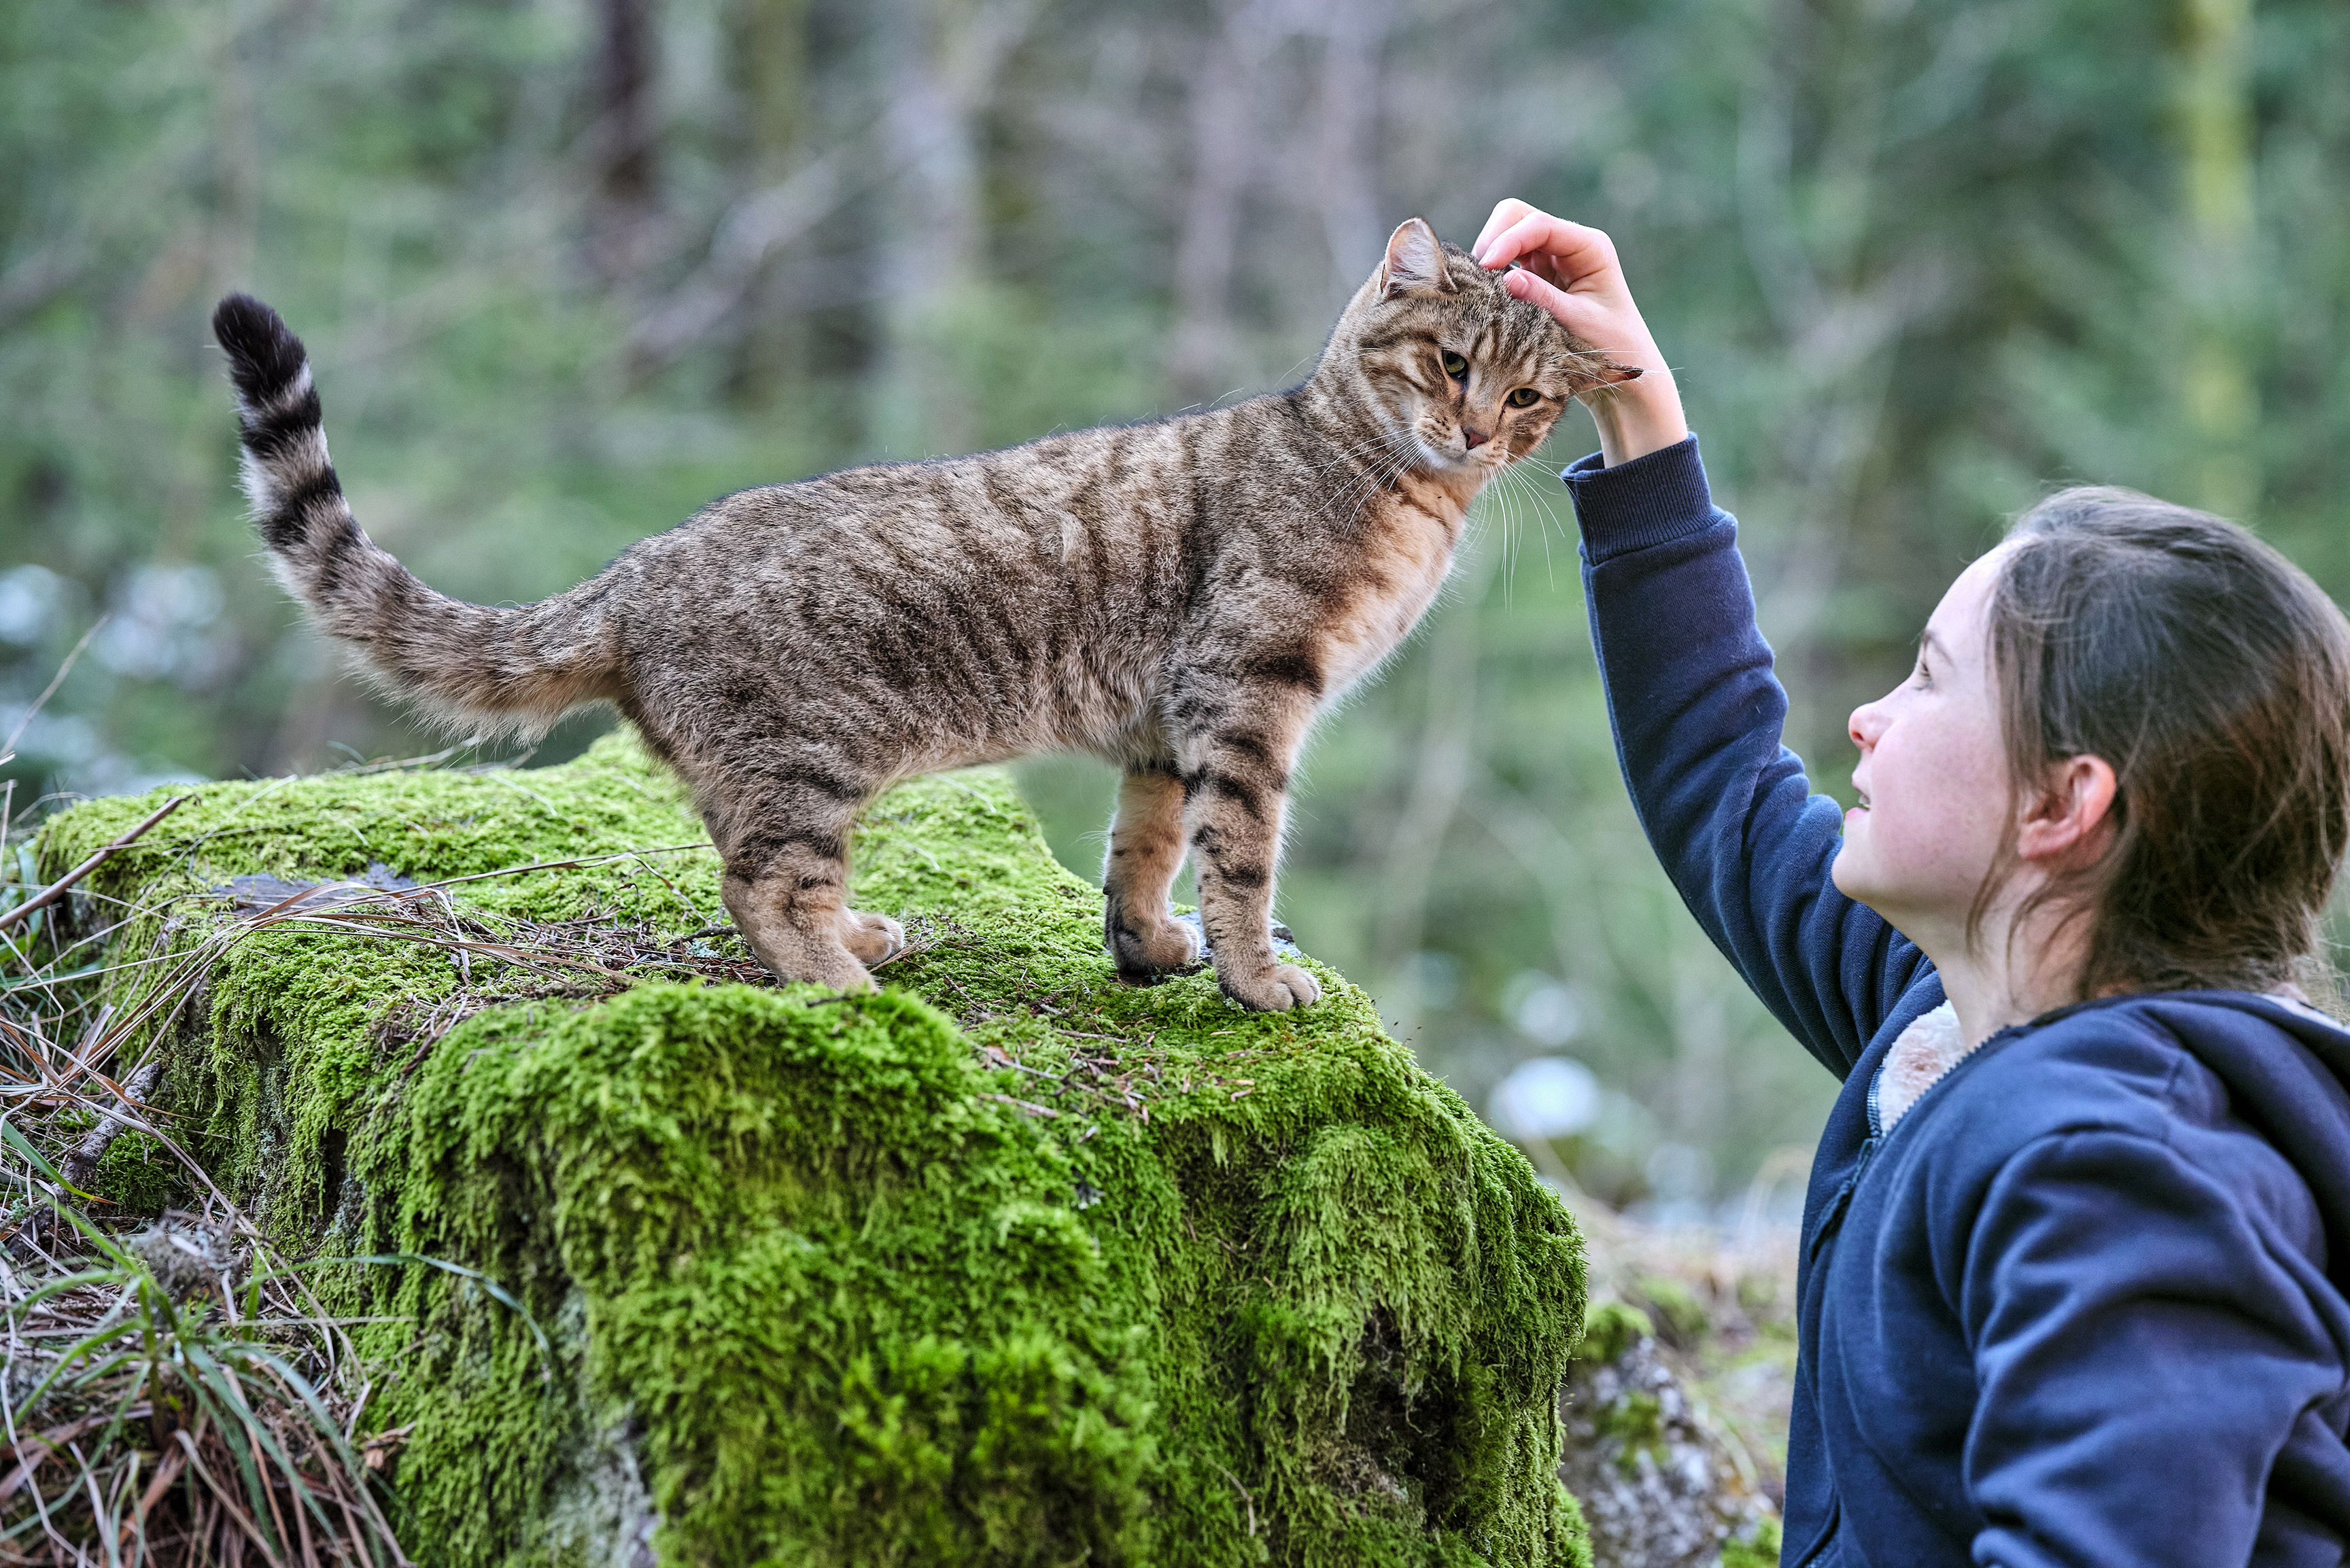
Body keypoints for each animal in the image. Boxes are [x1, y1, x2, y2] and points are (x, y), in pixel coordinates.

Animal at [216, 215, 1636, 1011]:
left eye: (1527, 399)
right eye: (1449, 363)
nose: (1474, 430)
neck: (1393, 489)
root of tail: (633, 571)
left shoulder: (1165, 724)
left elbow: (1143, 849)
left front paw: (1146, 949)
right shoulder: (1247, 692)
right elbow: (1241, 858)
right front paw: (1252, 975)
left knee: (755, 867)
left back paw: (862, 937)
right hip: (807, 758)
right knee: (757, 885)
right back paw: (846, 984)